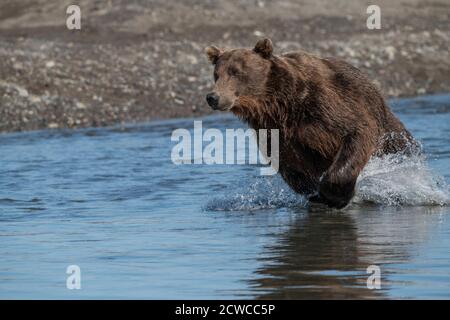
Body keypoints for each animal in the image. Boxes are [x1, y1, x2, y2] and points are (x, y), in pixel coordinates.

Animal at [206, 38, 416, 209]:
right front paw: (316, 193)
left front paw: (335, 194)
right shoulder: (275, 131)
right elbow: (289, 165)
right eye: (216, 74)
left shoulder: (325, 105)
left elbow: (357, 131)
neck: (279, 104)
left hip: (390, 133)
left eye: (235, 72)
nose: (213, 97)